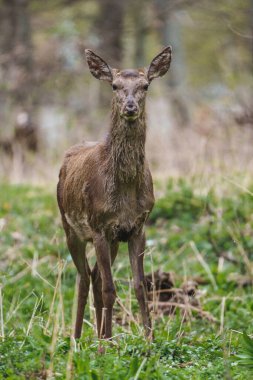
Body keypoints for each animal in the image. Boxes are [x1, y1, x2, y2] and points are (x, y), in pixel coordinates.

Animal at [57, 46, 172, 340]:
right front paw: (105, 345)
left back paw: (101, 334)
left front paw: (149, 339)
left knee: (95, 276)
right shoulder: (99, 226)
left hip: (112, 240)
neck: (125, 191)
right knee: (84, 277)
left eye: (145, 85)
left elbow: (140, 286)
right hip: (70, 227)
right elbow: (110, 289)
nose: (130, 107)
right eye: (114, 85)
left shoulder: (136, 227)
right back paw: (77, 338)